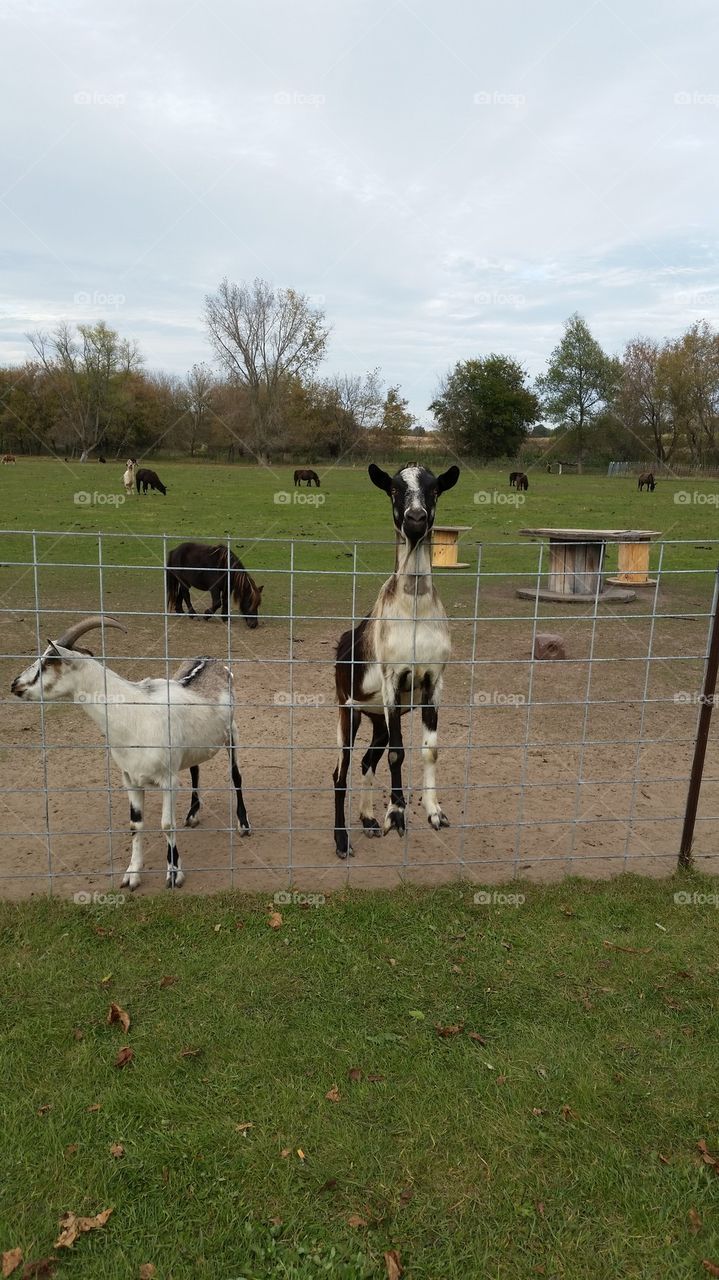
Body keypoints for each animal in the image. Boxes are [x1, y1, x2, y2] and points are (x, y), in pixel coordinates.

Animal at [11, 616, 251, 889]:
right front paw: (132, 875)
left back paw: (243, 824)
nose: (15, 685)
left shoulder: (168, 780)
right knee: (195, 770)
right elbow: (135, 824)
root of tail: (210, 659)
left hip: (232, 733)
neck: (134, 716)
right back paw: (192, 815)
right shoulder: (130, 779)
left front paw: (174, 874)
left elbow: (166, 824)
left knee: (236, 775)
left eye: (49, 662)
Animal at [332, 462, 460, 859]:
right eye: (393, 489)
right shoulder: (392, 679)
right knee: (340, 771)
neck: (414, 612)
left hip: (379, 720)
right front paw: (397, 813)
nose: (415, 519)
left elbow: (429, 749)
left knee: (366, 759)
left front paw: (434, 811)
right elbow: (398, 754)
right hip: (349, 710)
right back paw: (342, 840)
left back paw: (368, 819)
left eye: (434, 490)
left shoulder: (434, 680)